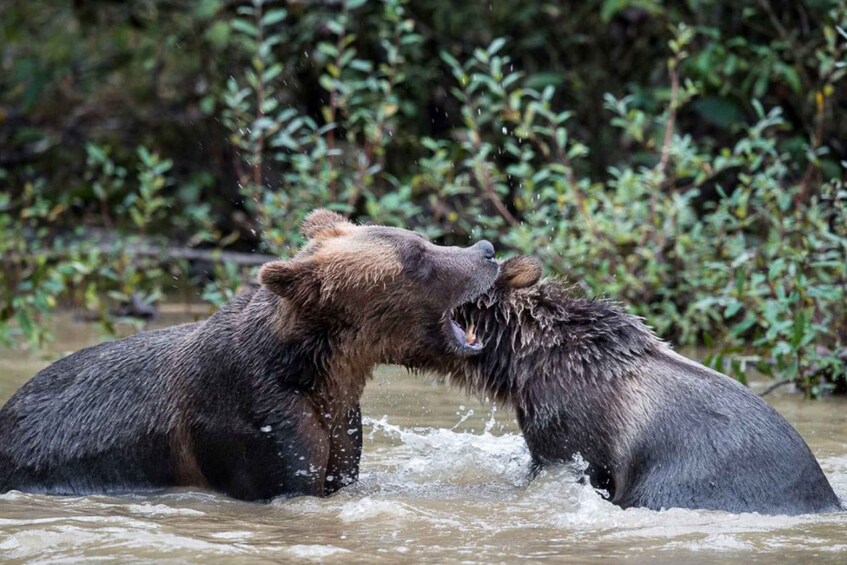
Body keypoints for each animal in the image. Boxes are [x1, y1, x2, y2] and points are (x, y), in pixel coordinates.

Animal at [0, 209, 499, 501]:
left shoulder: (341, 421)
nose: (486, 250)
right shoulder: (255, 419)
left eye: (423, 239)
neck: (321, 371)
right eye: (417, 258)